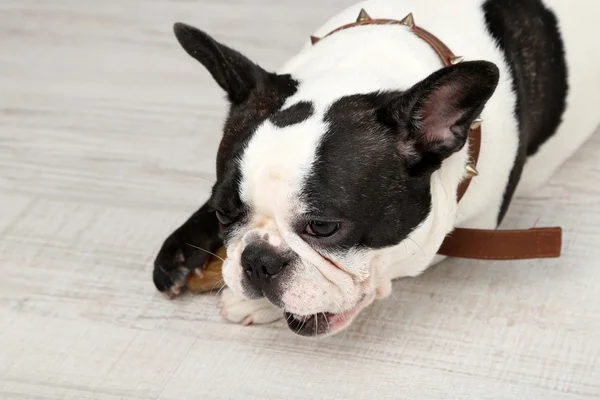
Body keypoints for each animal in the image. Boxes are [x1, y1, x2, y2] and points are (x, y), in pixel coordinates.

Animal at [154, 0, 600, 338]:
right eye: (222, 212)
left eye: (323, 227)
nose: (258, 261)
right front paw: (181, 250)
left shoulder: (456, 234)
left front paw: (251, 304)